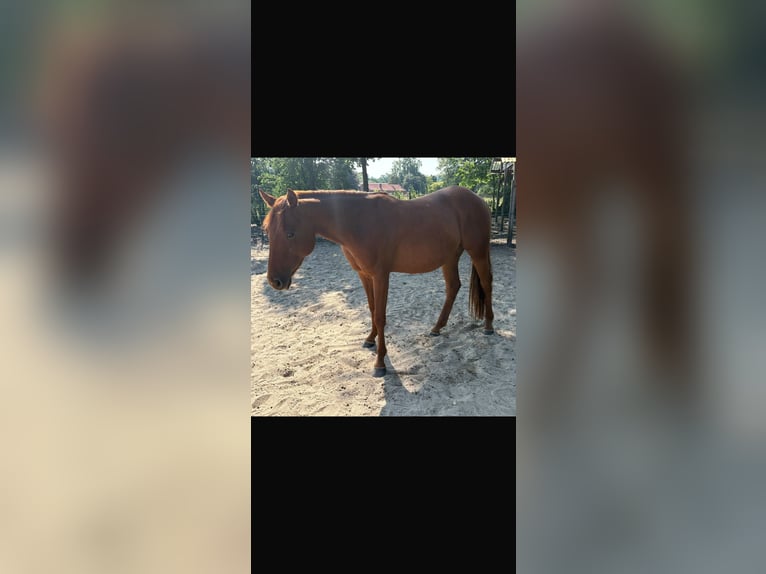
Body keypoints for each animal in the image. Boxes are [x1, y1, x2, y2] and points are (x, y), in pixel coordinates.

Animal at [258, 186, 495, 377]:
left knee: (486, 283)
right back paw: (437, 327)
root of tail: (478, 198)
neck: (359, 221)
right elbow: (372, 309)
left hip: (478, 251)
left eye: (290, 234)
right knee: (453, 286)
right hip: (450, 256)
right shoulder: (365, 275)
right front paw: (370, 339)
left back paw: (489, 326)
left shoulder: (381, 276)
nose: (275, 281)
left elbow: (380, 316)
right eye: (267, 231)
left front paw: (380, 363)